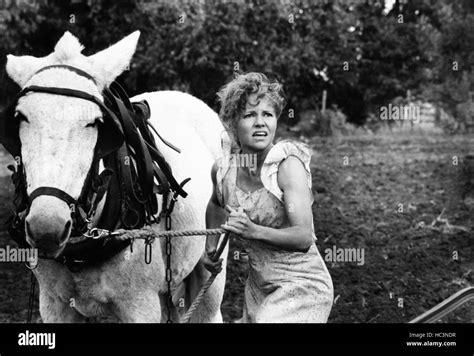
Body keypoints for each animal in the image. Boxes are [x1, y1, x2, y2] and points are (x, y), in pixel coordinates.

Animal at [5, 31, 228, 322]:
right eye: (21, 117)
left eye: (95, 123)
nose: (46, 227)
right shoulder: (54, 303)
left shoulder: (140, 306)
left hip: (211, 262)